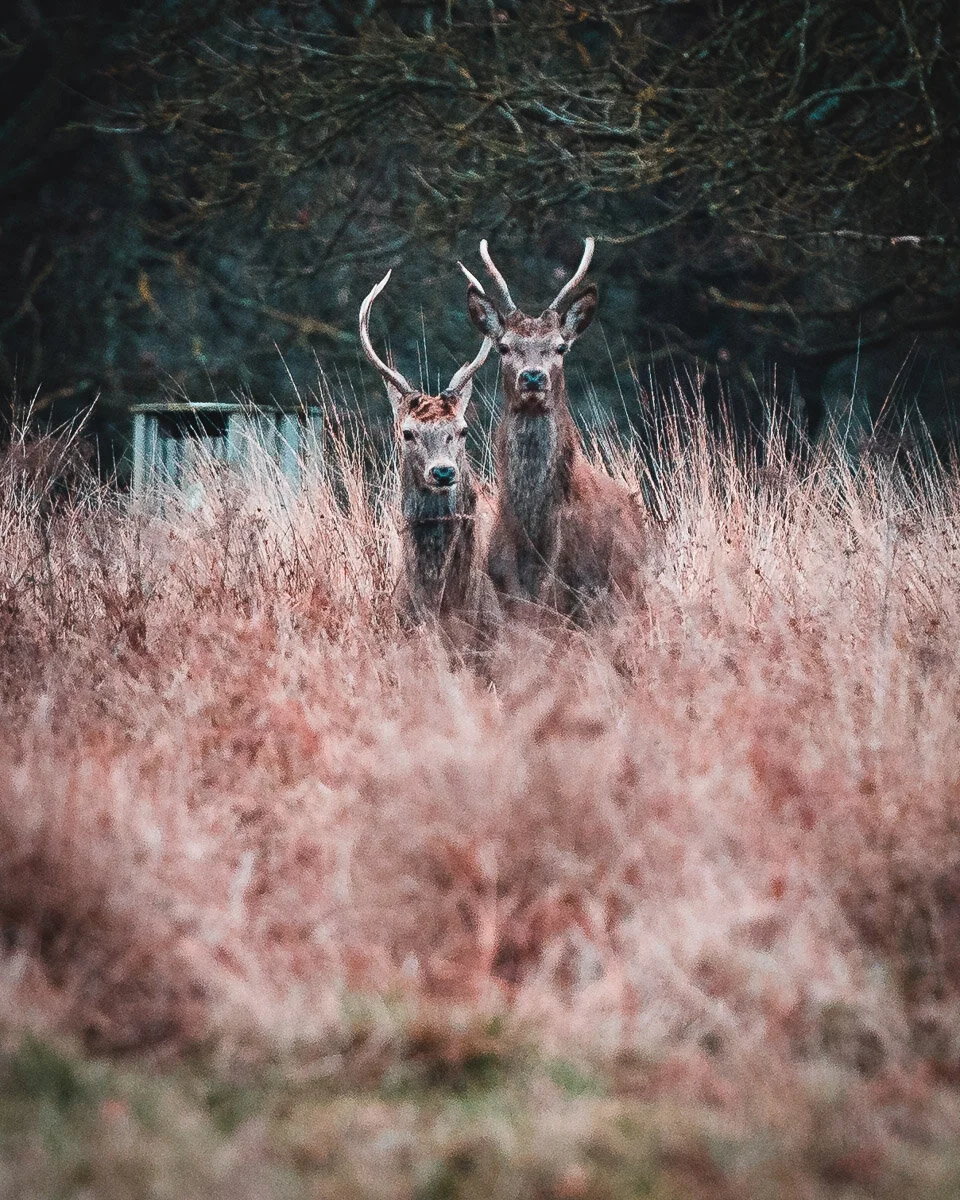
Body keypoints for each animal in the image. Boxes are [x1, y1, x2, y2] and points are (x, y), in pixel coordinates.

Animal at [458, 238, 657, 620]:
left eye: (560, 347)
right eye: (504, 346)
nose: (533, 377)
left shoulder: (586, 595)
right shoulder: (507, 594)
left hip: (630, 594)